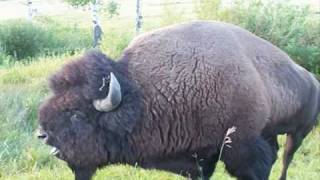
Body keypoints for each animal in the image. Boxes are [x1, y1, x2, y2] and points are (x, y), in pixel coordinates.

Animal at [37, 21, 318, 180]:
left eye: (77, 114)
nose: (42, 134)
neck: (141, 95)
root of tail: (311, 79)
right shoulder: (200, 157)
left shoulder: (242, 147)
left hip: (298, 133)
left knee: (285, 160)